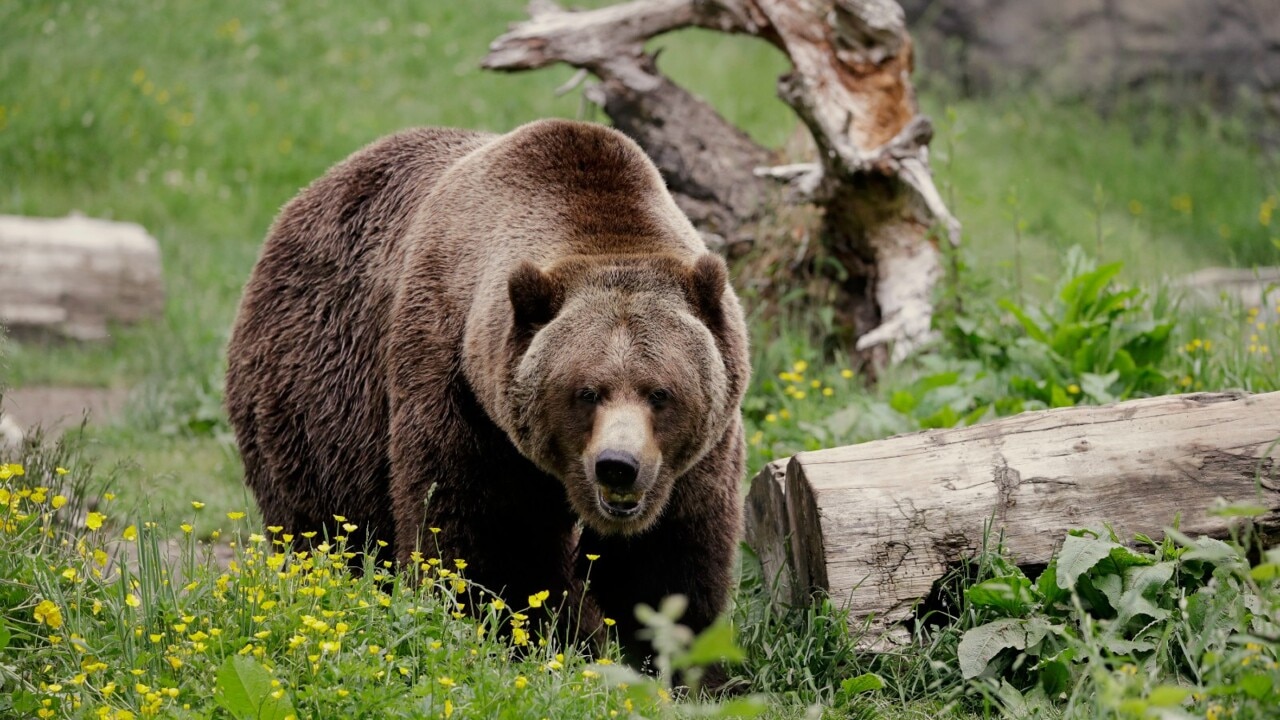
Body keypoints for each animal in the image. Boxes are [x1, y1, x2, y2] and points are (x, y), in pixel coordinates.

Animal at [225, 119, 747, 655]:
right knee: (325, 523)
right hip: (318, 396)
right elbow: (484, 541)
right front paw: (524, 633)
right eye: (586, 391)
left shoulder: (697, 456)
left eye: (659, 392)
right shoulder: (460, 391)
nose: (617, 466)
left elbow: (667, 563)